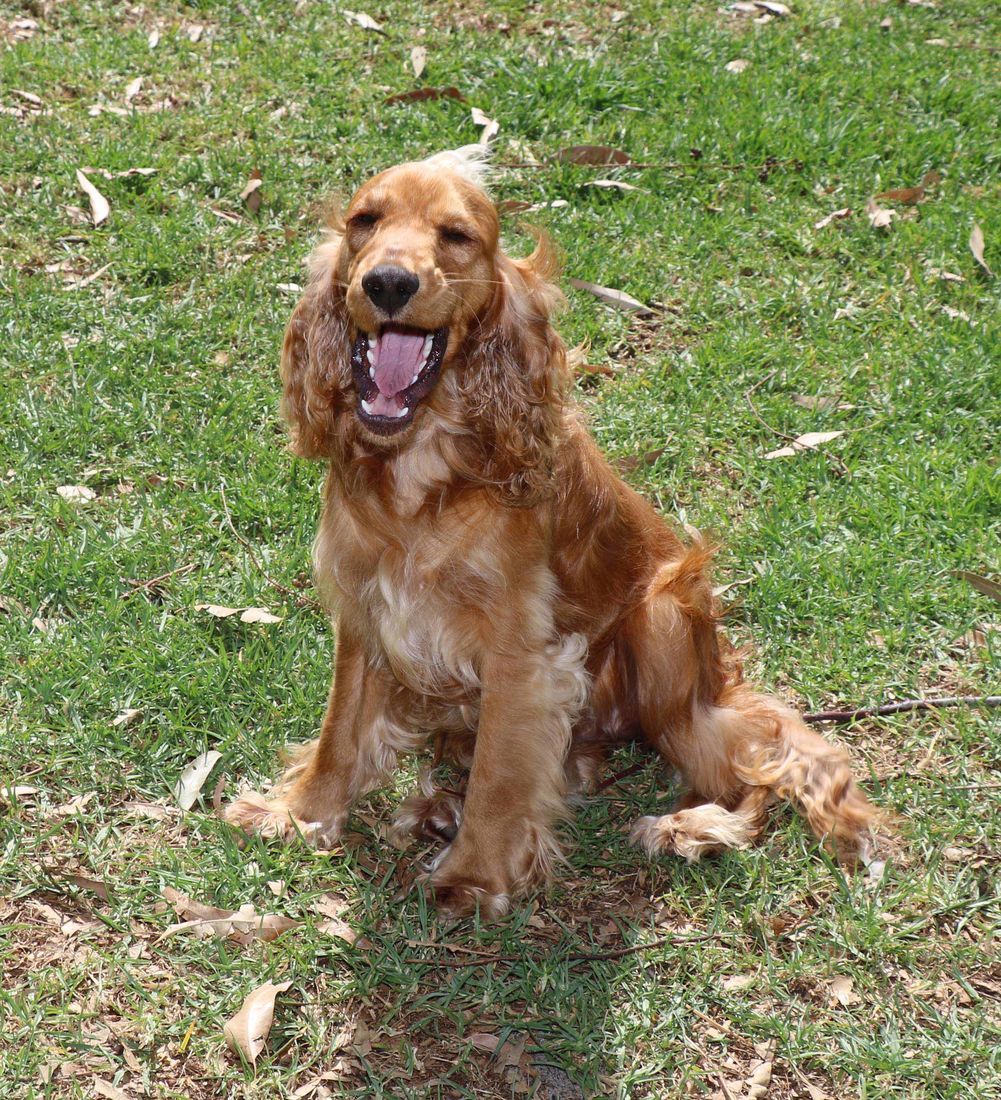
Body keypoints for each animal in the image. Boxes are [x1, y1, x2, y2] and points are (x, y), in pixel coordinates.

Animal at [225, 146, 880, 919]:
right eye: (365, 221)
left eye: (456, 235)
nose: (387, 282)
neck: (421, 471)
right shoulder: (363, 613)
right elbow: (339, 733)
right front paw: (301, 814)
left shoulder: (520, 652)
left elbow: (502, 774)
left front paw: (475, 875)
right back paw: (440, 806)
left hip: (662, 628)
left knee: (750, 762)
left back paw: (694, 826)